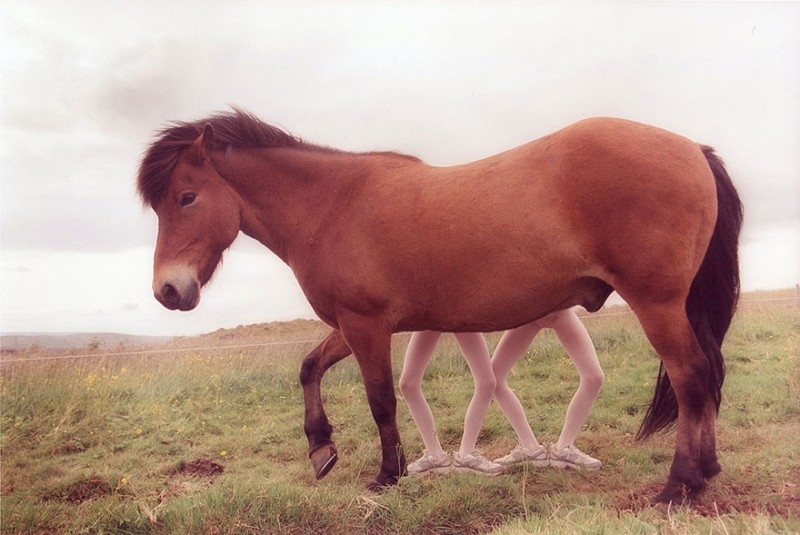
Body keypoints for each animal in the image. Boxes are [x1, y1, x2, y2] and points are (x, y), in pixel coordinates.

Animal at [138, 108, 744, 502]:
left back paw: (680, 484)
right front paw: (320, 448)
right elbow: (310, 367)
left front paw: (388, 474)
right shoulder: (354, 324)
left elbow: (381, 400)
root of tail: (691, 147)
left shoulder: (366, 325)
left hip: (658, 303)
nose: (168, 292)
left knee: (691, 375)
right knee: (707, 375)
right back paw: (708, 469)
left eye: (187, 197)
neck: (331, 205)